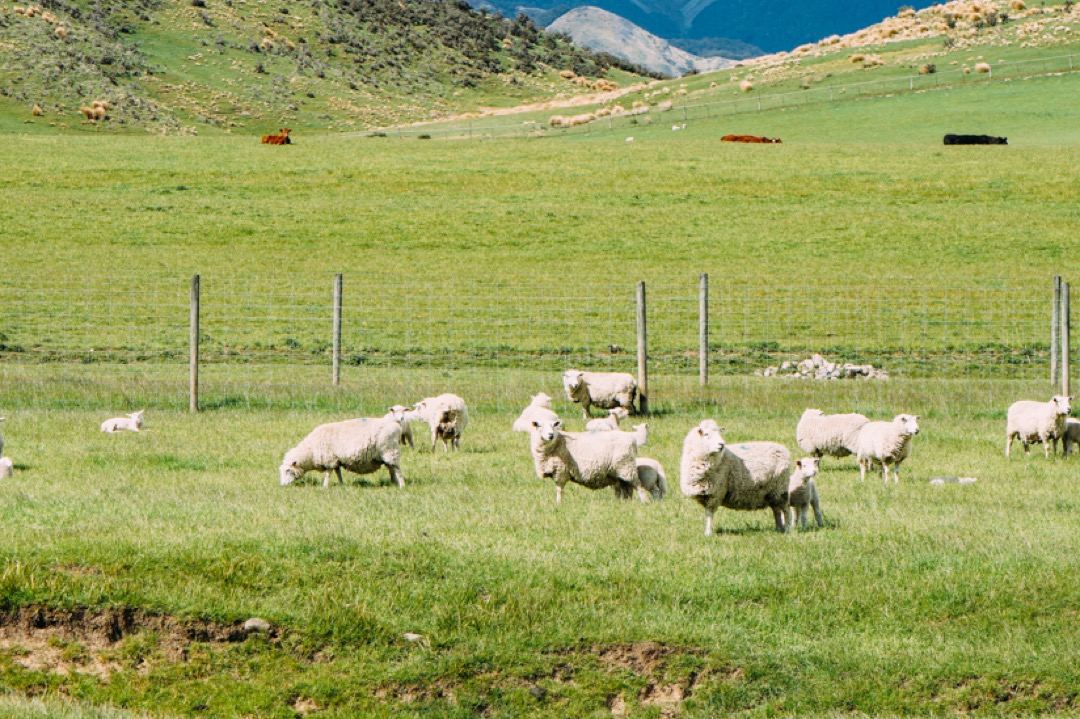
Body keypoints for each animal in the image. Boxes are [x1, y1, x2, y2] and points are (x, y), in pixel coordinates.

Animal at [278, 414, 406, 487]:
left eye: (288, 470)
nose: (282, 485)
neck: (311, 451)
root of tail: (396, 426)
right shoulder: (335, 459)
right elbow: (337, 472)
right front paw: (341, 484)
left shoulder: (329, 459)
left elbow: (328, 474)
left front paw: (325, 486)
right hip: (386, 454)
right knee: (391, 468)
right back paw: (393, 483)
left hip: (390, 450)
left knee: (397, 469)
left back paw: (401, 485)